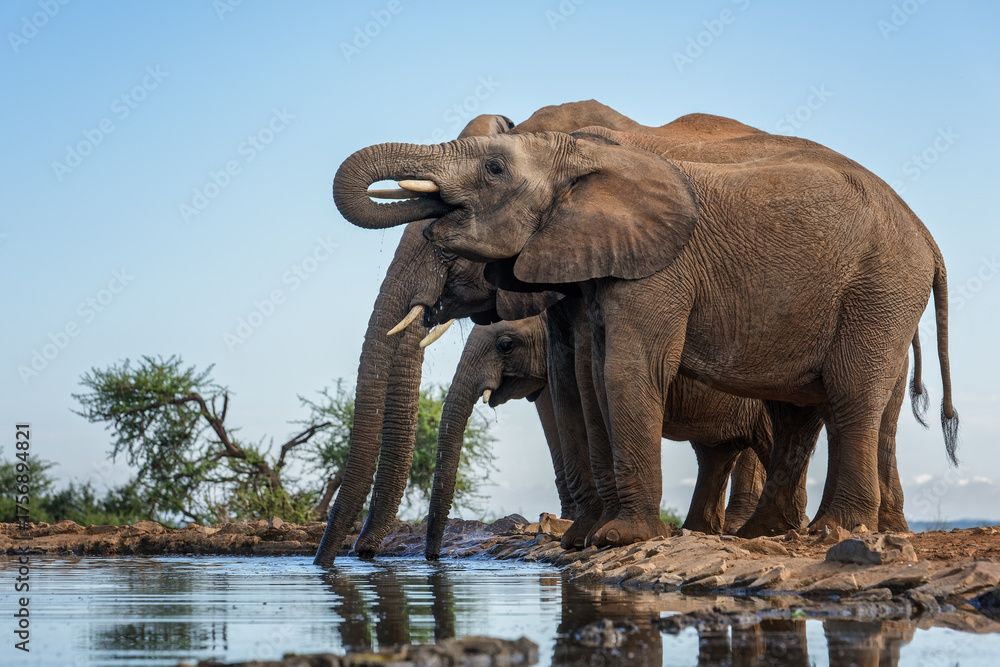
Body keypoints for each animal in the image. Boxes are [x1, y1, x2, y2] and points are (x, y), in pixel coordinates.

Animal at [424, 310, 773, 558]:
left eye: (505, 345)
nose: (433, 557)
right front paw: (564, 524)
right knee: (714, 454)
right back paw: (698, 529)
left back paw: (738, 527)